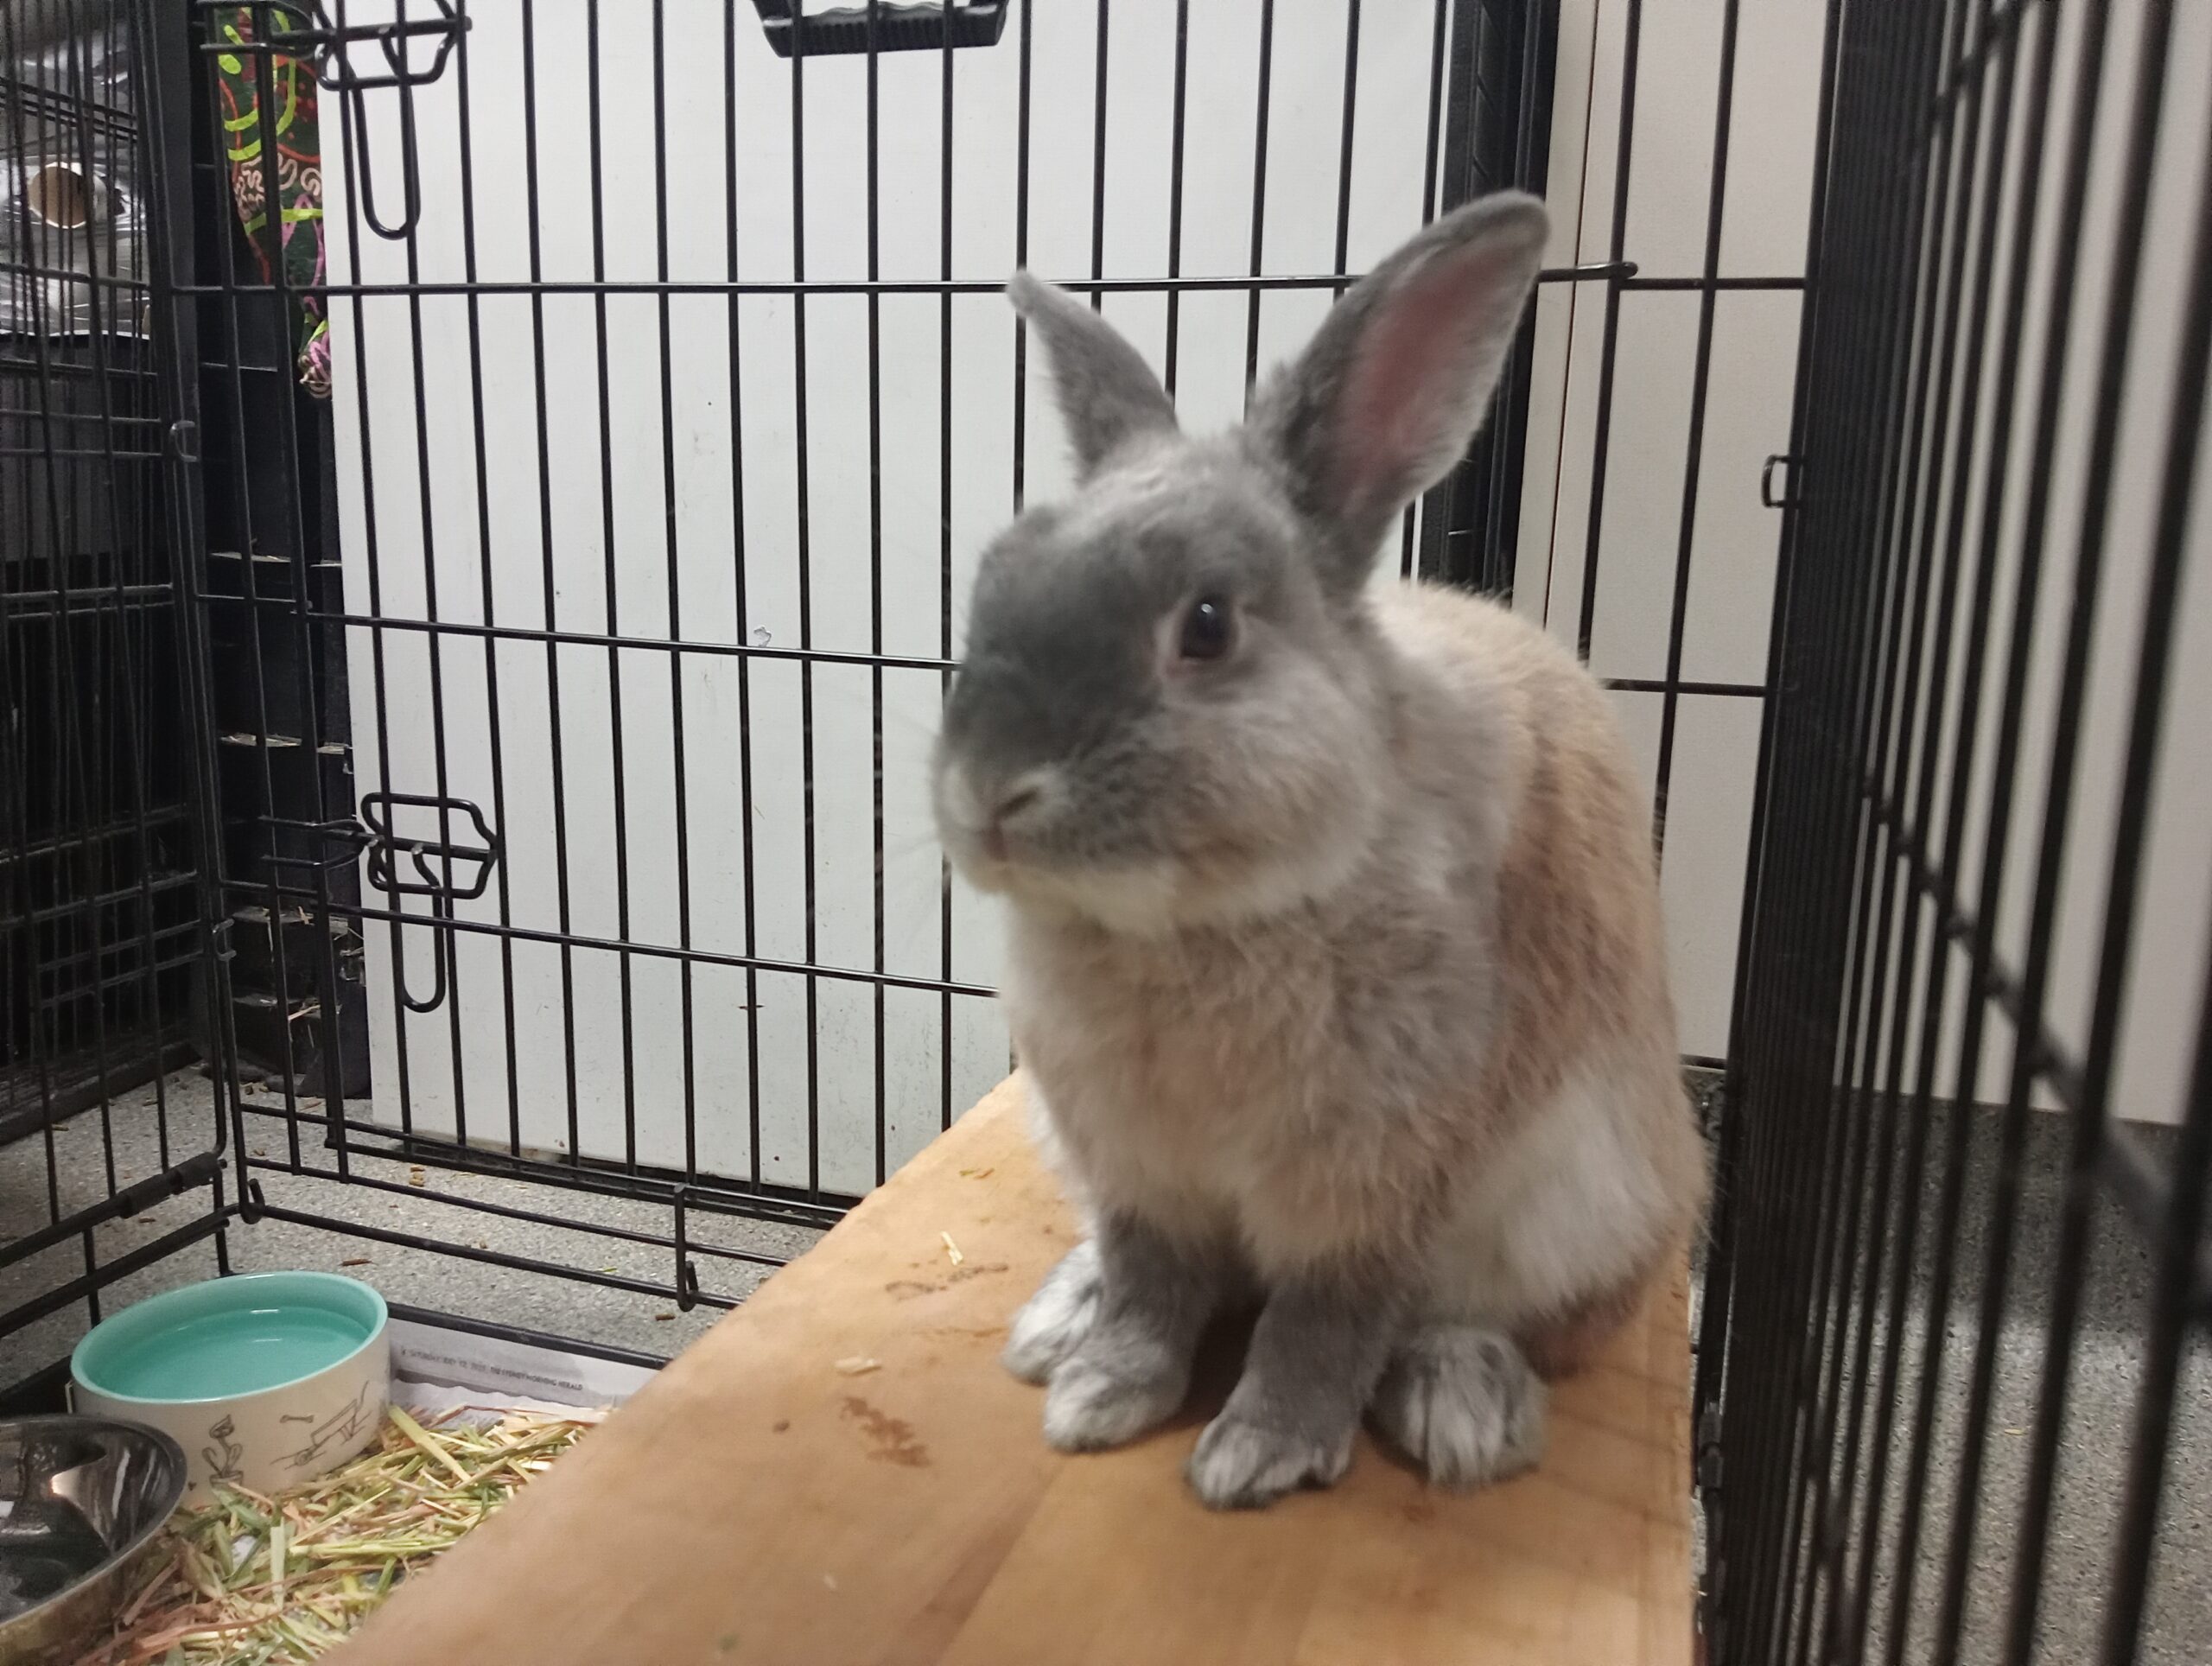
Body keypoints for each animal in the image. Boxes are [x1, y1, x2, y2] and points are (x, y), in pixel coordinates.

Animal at [931, 191, 1711, 1510]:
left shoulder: (1369, 1184)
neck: (1190, 924)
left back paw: (1462, 1405)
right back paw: (1060, 1319)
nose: (991, 794)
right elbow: (1151, 1282)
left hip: (1582, 1208)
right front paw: (1100, 1393)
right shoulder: (1135, 1168)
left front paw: (1256, 1455)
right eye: (987, 588)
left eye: (1206, 627)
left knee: (1495, 1318)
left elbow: (1325, 1318)